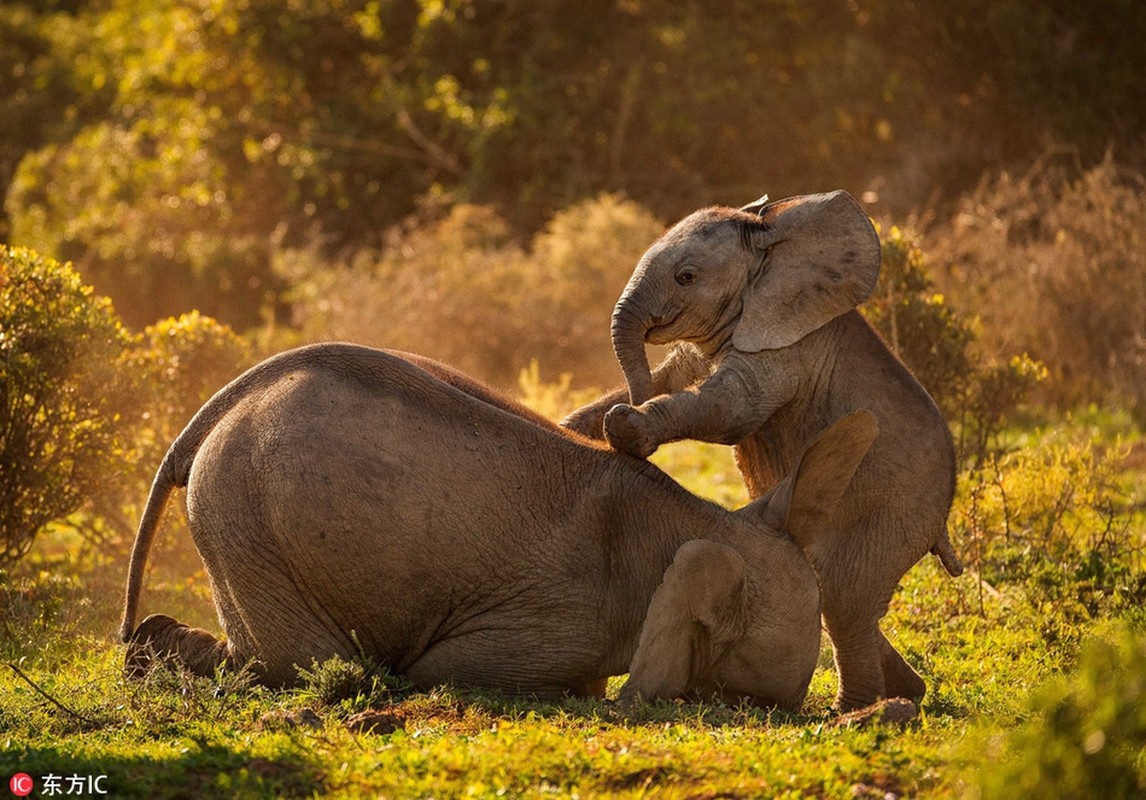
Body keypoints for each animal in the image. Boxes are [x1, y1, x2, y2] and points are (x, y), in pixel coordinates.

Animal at [118, 339, 875, 706]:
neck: (702, 520)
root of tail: (206, 420)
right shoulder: (558, 616)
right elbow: (446, 672)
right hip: (242, 515)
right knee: (297, 663)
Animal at [559, 187, 962, 710]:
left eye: (687, 277)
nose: (632, 401)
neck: (769, 241)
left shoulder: (790, 348)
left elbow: (735, 409)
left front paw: (624, 428)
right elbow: (674, 376)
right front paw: (572, 425)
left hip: (896, 510)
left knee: (846, 598)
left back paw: (856, 710)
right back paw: (908, 690)